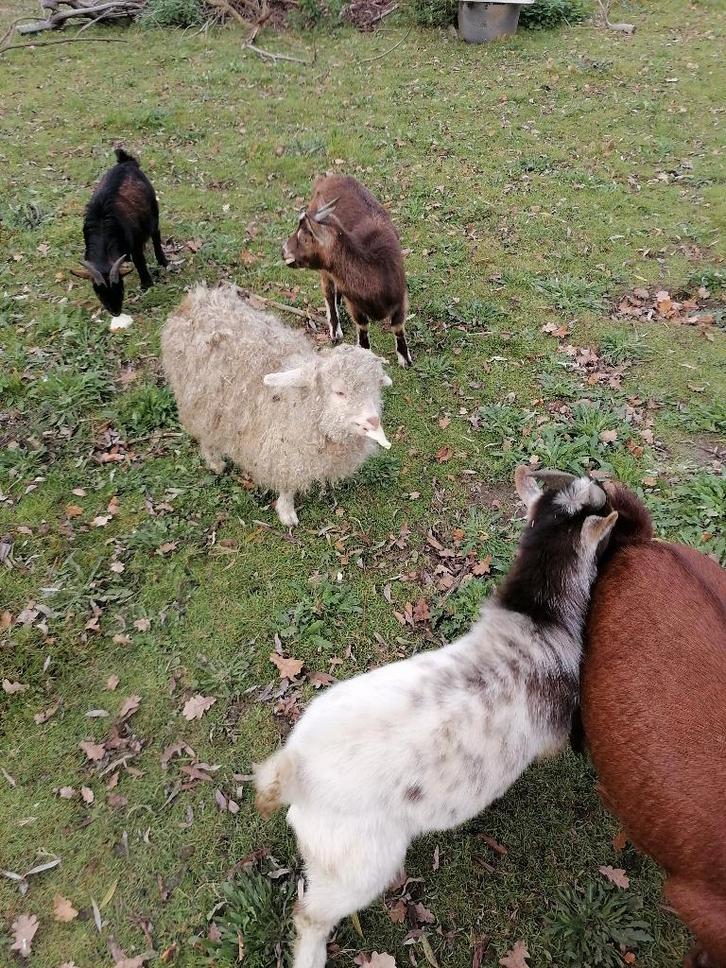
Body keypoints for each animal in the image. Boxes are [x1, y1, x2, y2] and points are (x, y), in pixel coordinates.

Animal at [71, 148, 167, 317]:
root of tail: (126, 162)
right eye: (98, 292)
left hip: (153, 211)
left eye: (120, 287)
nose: (115, 312)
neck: (103, 228)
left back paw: (163, 261)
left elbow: (139, 261)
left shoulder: (135, 243)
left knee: (156, 234)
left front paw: (147, 284)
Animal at [161, 283, 393, 528]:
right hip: (198, 401)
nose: (373, 421)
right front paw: (287, 512)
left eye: (375, 388)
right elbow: (286, 484)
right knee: (204, 432)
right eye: (339, 392)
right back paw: (215, 462)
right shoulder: (282, 452)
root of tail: (195, 298)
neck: (303, 406)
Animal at [253, 467, 619, 968]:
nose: (609, 487)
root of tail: (295, 767)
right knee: (310, 914)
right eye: (599, 505)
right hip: (358, 865)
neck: (537, 618)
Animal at [282, 174, 412, 368]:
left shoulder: (400, 297)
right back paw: (335, 331)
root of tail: (327, 179)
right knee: (328, 293)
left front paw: (405, 359)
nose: (283, 250)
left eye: (303, 238)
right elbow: (363, 327)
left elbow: (397, 326)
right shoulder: (355, 304)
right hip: (325, 272)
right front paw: (365, 355)